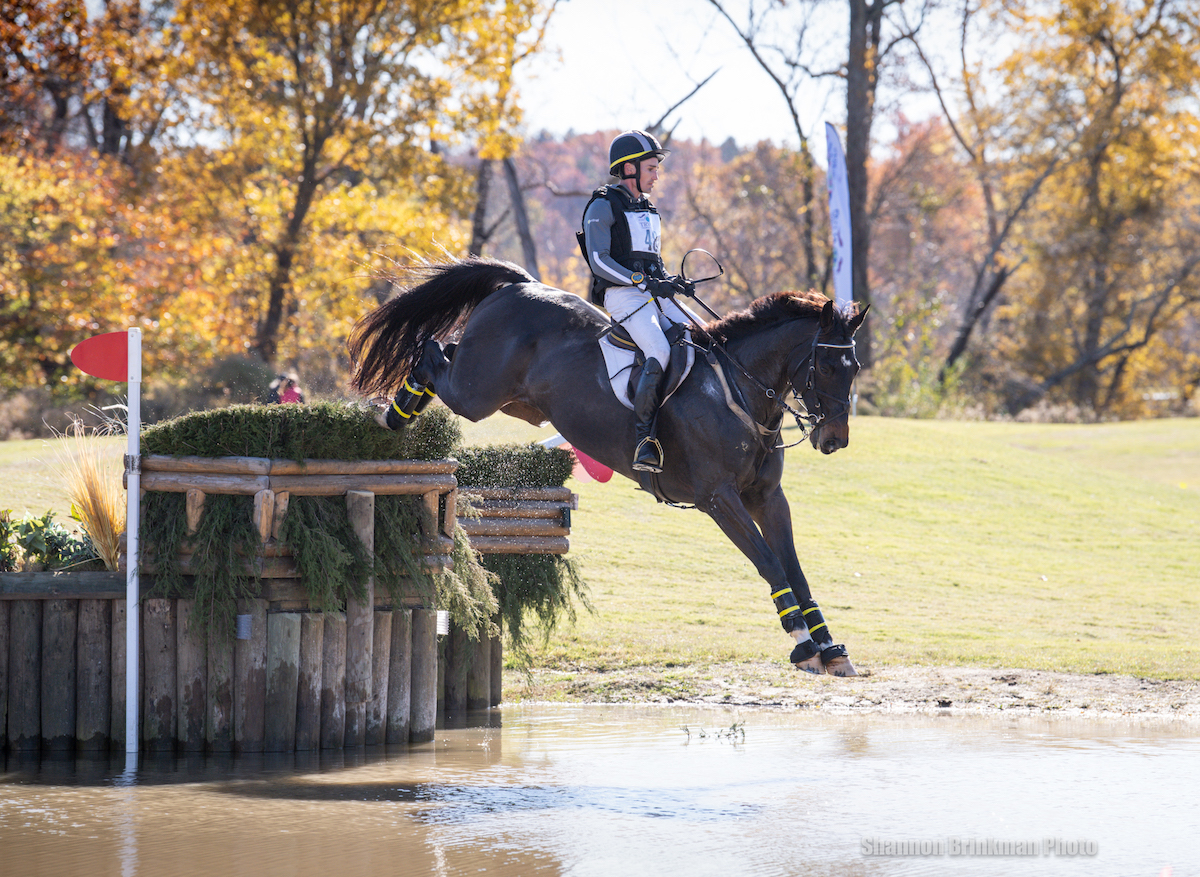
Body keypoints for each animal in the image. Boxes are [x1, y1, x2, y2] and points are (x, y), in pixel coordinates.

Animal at [350, 256, 868, 676]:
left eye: (855, 368)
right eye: (826, 368)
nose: (835, 440)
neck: (738, 390)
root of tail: (519, 286)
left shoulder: (766, 498)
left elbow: (794, 569)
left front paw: (829, 647)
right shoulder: (719, 499)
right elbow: (770, 565)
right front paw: (803, 646)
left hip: (513, 399)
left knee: (447, 351)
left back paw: (397, 412)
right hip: (477, 395)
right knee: (431, 352)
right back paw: (390, 415)